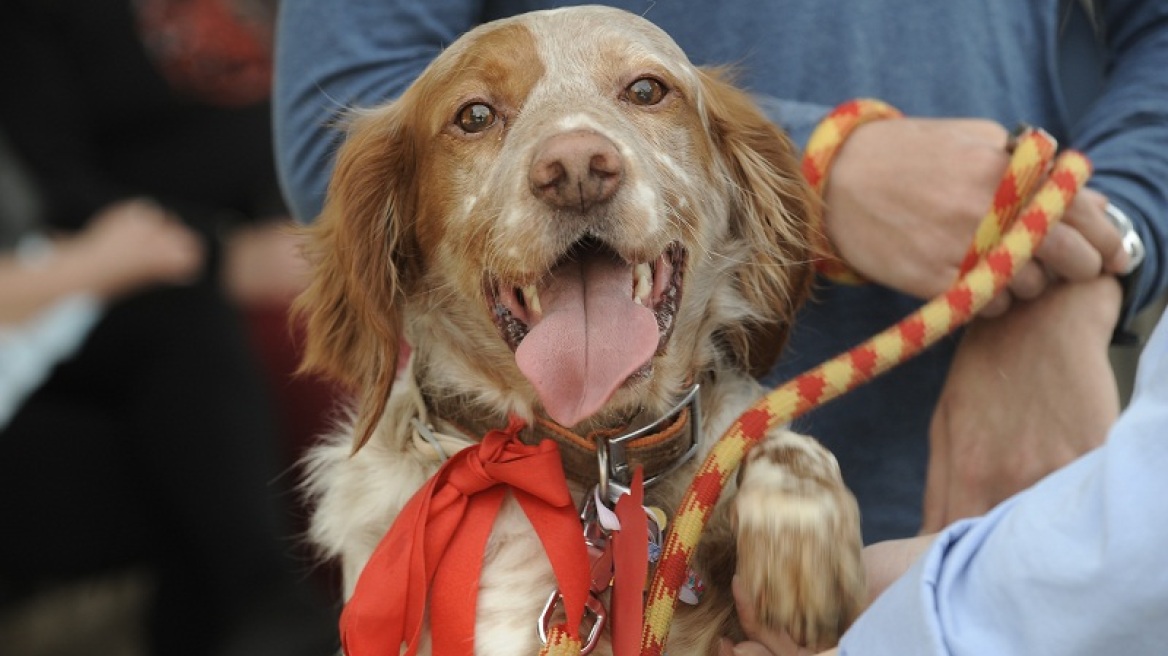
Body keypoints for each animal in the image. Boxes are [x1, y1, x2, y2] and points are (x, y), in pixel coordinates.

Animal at [299, 6, 868, 653]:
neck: (590, 462)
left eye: (646, 90)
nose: (575, 168)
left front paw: (802, 549)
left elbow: (780, 444)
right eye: (474, 116)